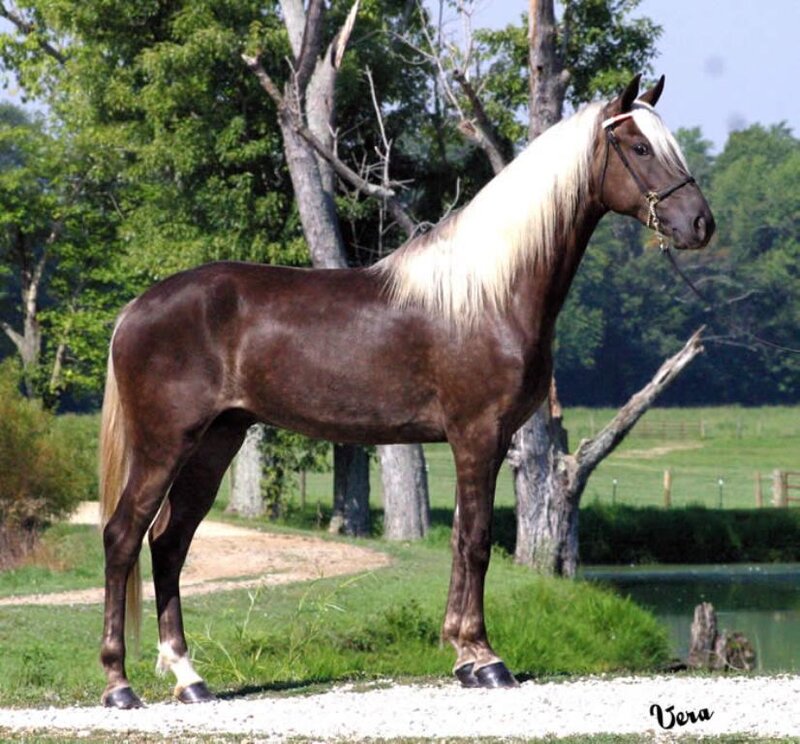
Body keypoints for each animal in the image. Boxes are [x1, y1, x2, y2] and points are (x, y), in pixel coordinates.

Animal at [98, 74, 714, 708]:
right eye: (639, 148)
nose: (700, 224)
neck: (489, 291)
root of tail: (136, 309)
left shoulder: (485, 443)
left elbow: (461, 541)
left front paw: (463, 657)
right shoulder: (477, 436)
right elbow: (477, 541)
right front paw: (486, 659)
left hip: (216, 442)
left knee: (170, 541)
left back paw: (189, 677)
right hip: (165, 443)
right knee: (123, 536)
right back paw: (119, 684)